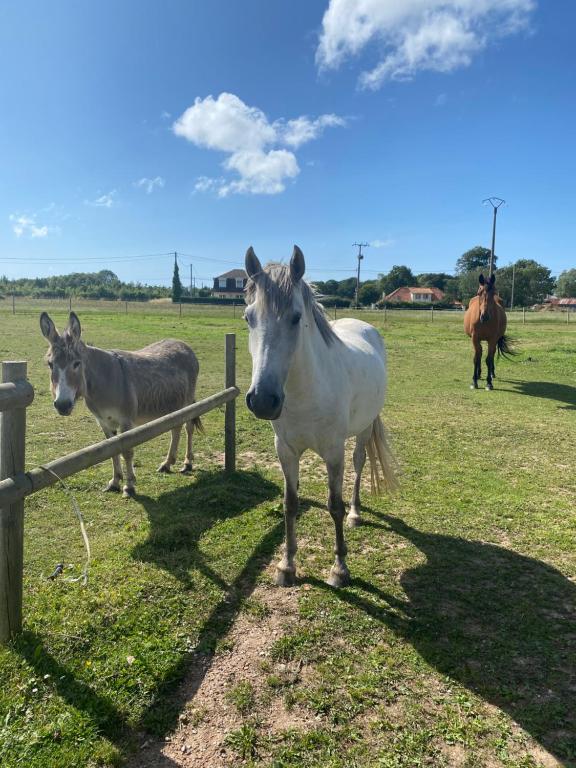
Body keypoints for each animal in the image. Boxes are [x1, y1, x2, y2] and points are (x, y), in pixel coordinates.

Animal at [40, 312, 202, 497]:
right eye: (50, 364)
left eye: (76, 363)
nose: (62, 405)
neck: (103, 381)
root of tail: (183, 344)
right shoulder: (104, 422)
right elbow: (112, 450)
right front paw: (115, 482)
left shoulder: (126, 421)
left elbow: (127, 452)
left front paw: (129, 485)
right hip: (174, 405)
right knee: (176, 428)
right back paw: (167, 464)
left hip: (188, 402)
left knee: (188, 427)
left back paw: (187, 463)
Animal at [243, 245, 396, 588]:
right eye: (248, 318)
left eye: (296, 317)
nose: (262, 400)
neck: (305, 394)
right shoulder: (285, 451)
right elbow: (290, 504)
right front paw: (286, 566)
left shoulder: (332, 452)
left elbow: (333, 506)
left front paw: (339, 569)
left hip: (363, 430)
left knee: (359, 463)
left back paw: (356, 513)